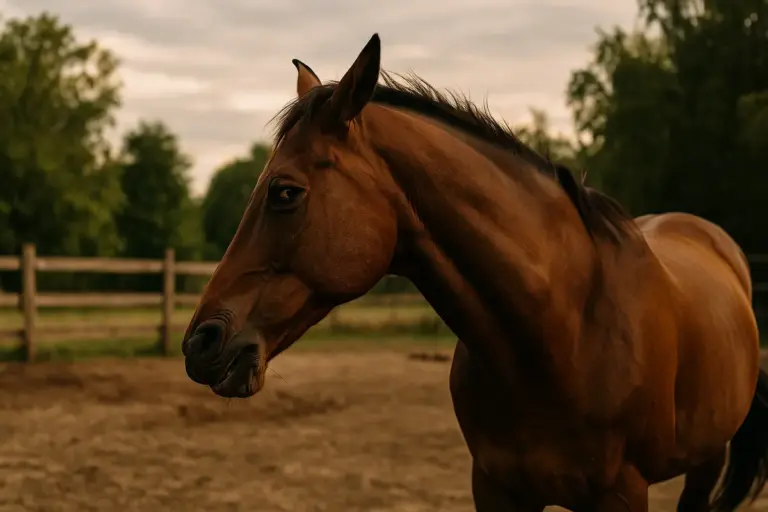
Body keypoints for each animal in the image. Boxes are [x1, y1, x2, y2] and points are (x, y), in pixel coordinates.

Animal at [181, 34, 766, 511]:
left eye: (284, 192)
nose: (199, 343)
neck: (564, 333)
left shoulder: (621, 493)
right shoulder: (494, 487)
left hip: (705, 463)